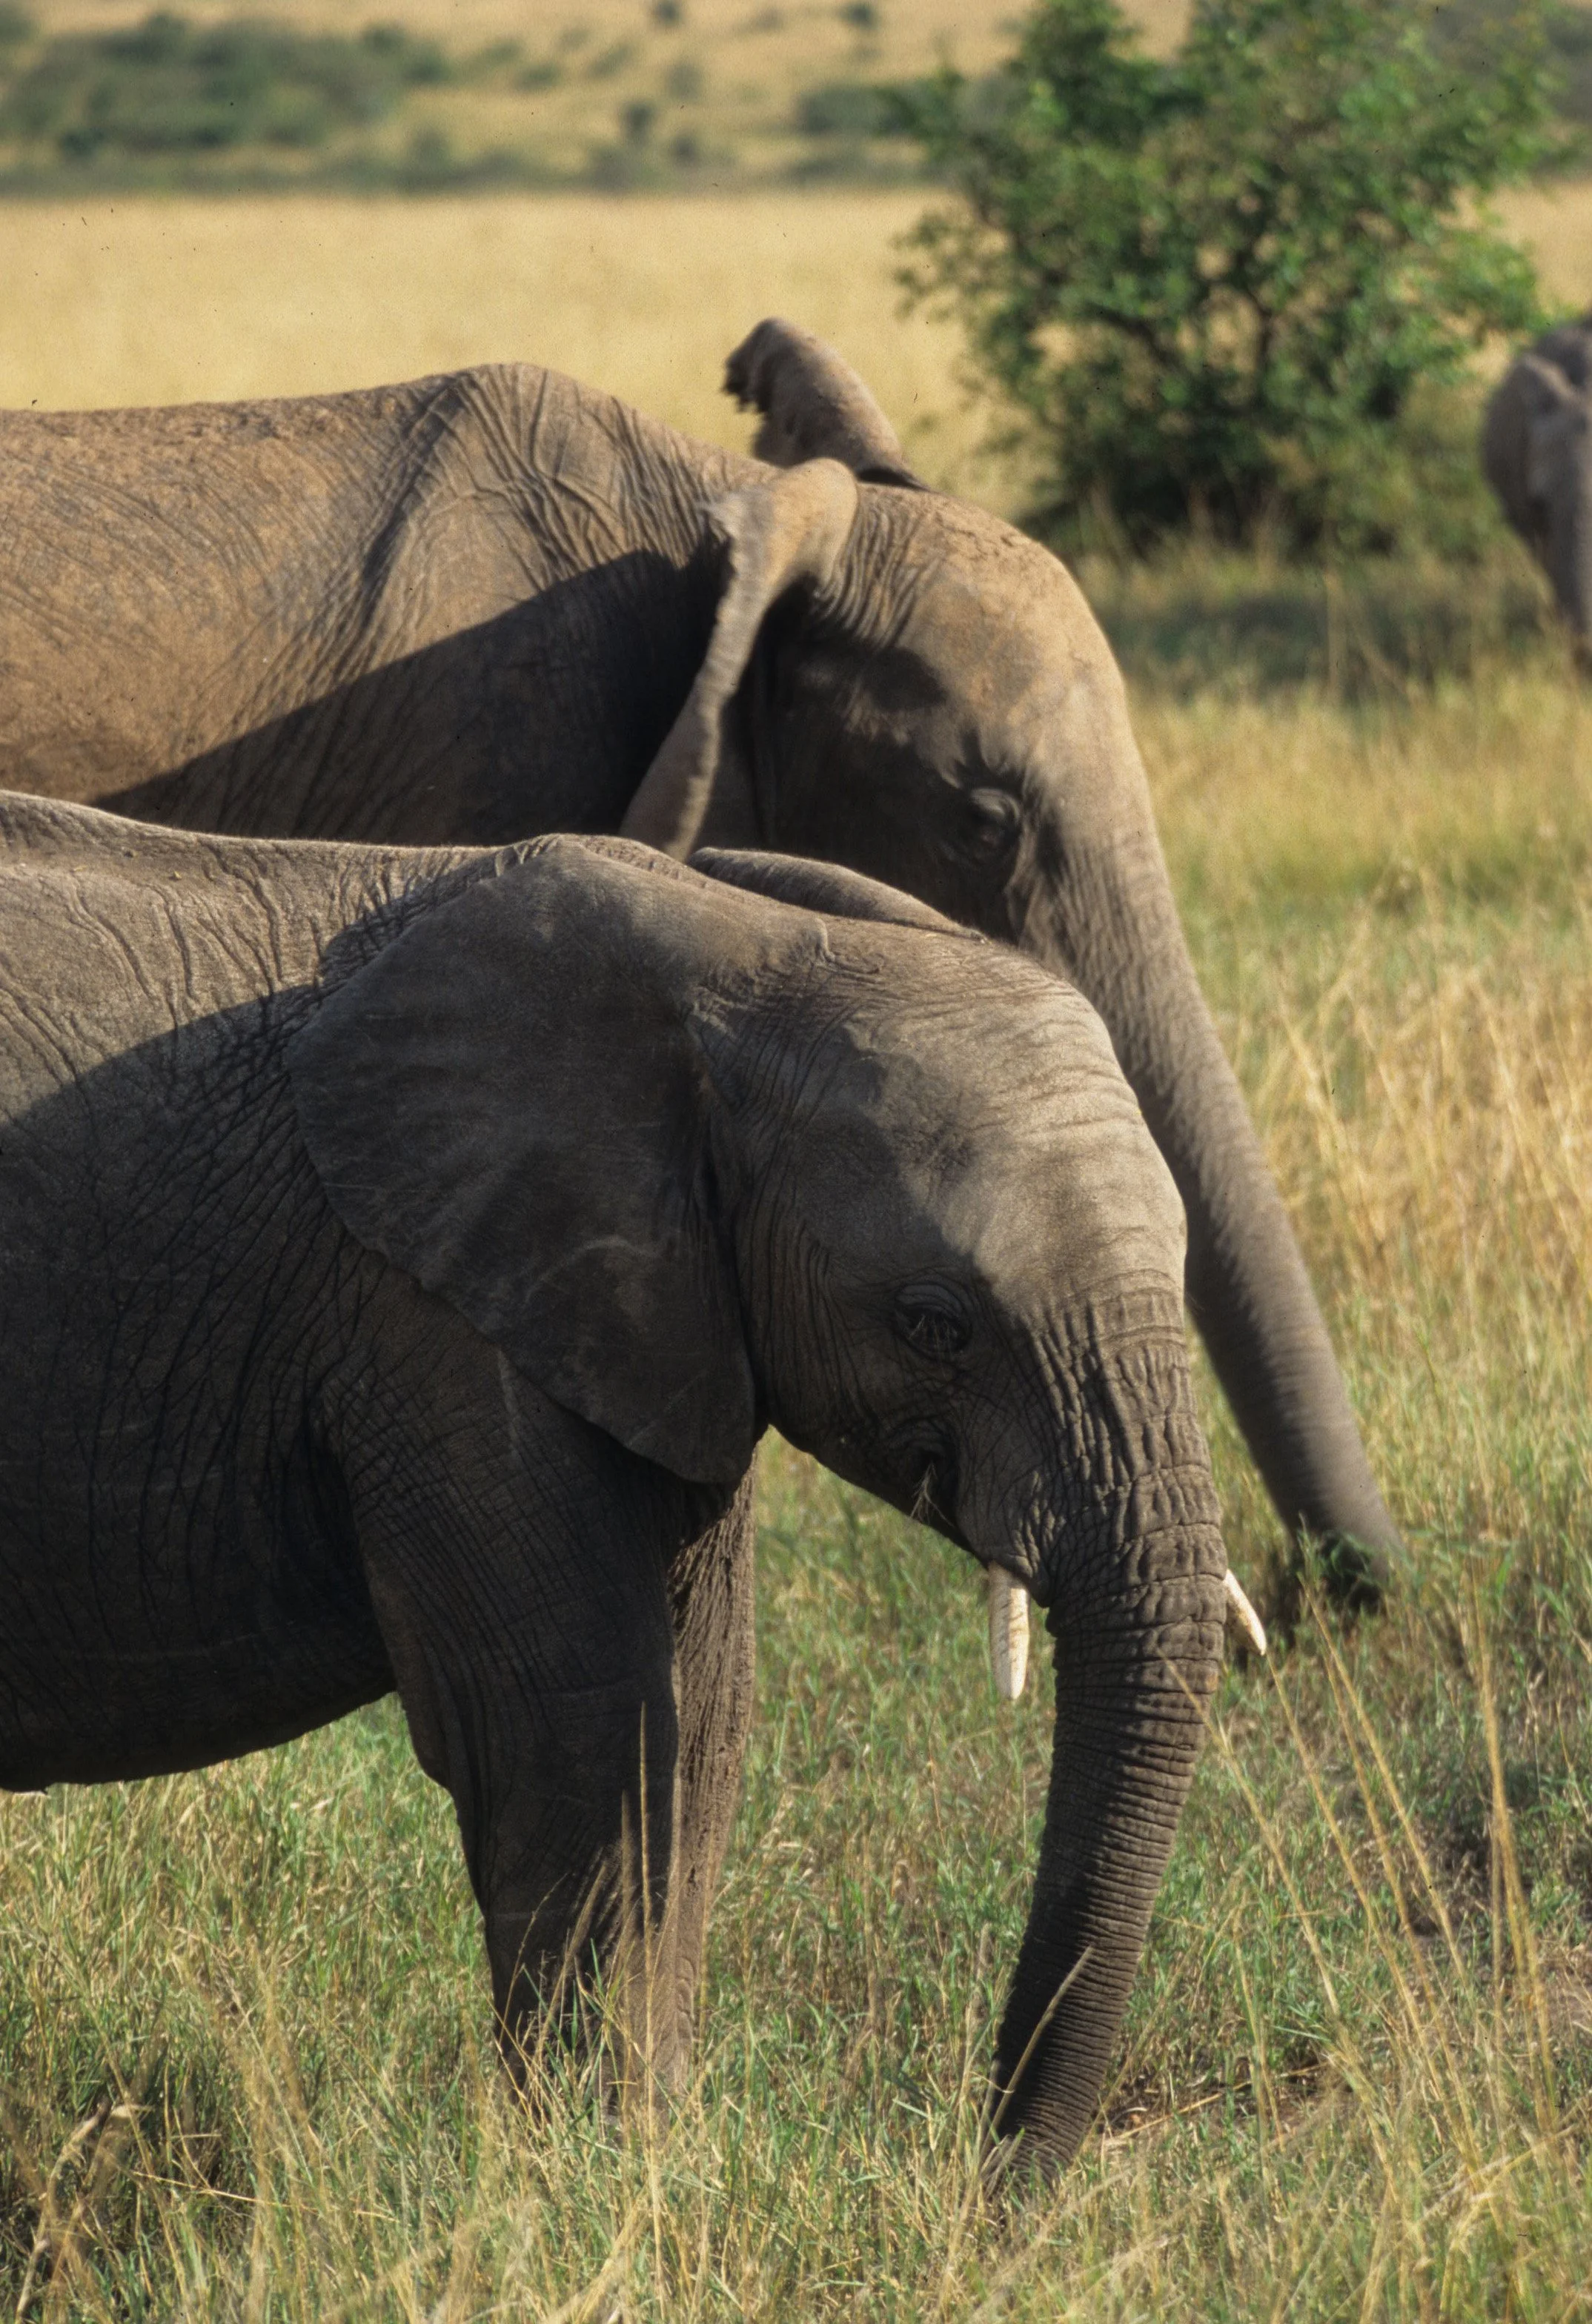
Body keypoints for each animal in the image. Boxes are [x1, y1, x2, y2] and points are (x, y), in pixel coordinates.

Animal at [0, 791, 1231, 2170]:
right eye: (933, 1325)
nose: (992, 2179)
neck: (739, 965)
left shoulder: (658, 1316)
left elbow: (705, 1714)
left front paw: (656, 2155)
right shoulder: (434, 1323)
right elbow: (577, 1726)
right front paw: (597, 2170)